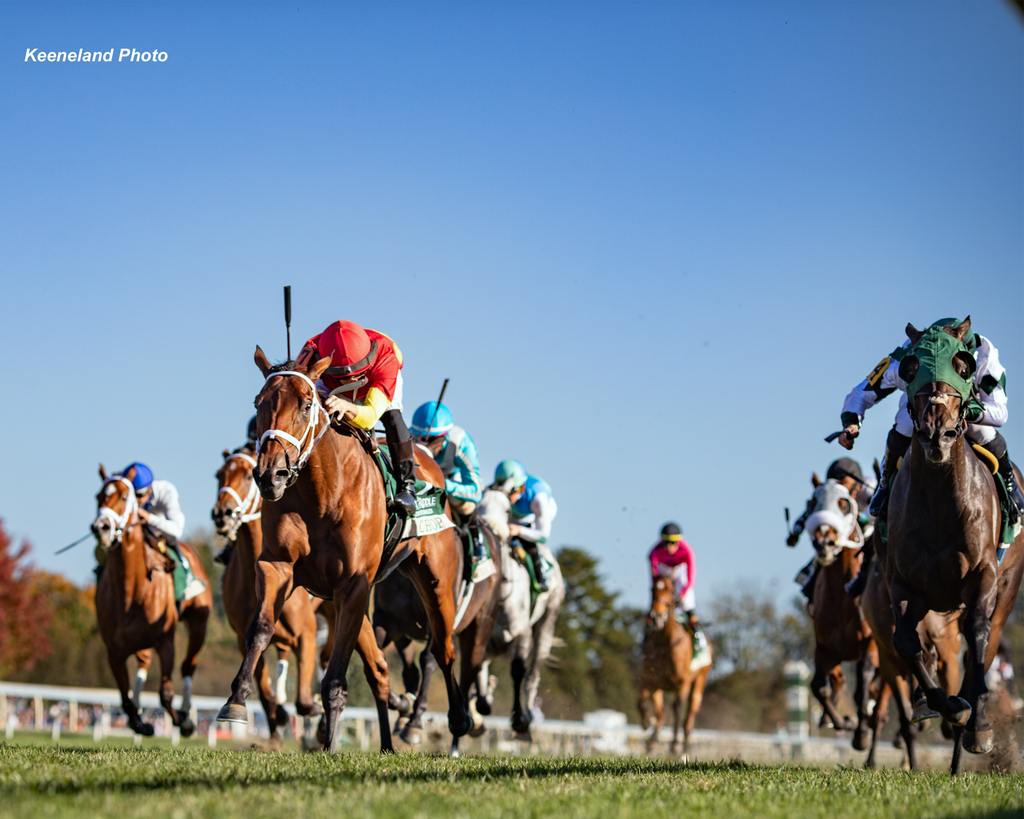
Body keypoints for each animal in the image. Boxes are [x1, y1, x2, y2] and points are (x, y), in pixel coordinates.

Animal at [91, 464, 210, 737]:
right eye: (98, 497)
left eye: (124, 496)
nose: (101, 527)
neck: (131, 590)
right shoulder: (114, 650)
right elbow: (124, 698)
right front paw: (140, 723)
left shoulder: (165, 641)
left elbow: (165, 693)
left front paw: (184, 722)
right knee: (143, 664)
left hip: (199, 623)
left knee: (188, 665)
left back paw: (186, 712)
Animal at [215, 444, 323, 737]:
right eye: (219, 475)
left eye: (244, 475)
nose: (221, 514)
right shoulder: (243, 638)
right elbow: (266, 695)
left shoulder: (306, 632)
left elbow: (304, 698)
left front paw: (314, 709)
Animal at [634, 573, 708, 757]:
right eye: (652, 589)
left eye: (670, 590)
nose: (656, 617)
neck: (665, 642)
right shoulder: (650, 681)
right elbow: (643, 704)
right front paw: (648, 725)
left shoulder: (682, 683)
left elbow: (677, 709)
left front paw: (674, 745)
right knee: (663, 712)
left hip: (699, 681)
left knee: (688, 716)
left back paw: (684, 745)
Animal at [888, 317, 1024, 769]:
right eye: (912, 367)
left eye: (963, 367)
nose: (938, 434)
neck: (938, 506)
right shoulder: (904, 582)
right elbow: (905, 640)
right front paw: (942, 705)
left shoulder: (983, 575)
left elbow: (978, 638)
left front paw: (976, 724)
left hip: (1007, 587)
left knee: (987, 641)